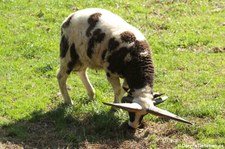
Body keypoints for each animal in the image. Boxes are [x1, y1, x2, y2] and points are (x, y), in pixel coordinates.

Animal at [56, 8, 192, 129]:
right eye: (131, 112)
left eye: (145, 115)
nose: (133, 127)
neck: (139, 57)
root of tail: (70, 17)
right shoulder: (111, 72)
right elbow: (118, 90)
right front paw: (115, 107)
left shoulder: (128, 77)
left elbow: (123, 90)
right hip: (68, 54)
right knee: (61, 76)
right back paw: (69, 102)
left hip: (84, 56)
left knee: (81, 71)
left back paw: (91, 95)